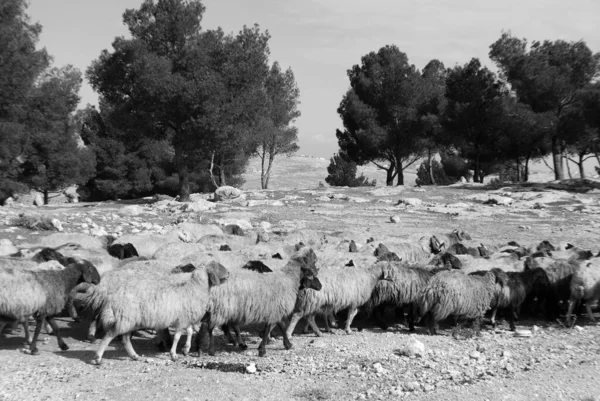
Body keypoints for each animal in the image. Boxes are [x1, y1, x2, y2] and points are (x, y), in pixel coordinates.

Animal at [70, 260, 225, 364]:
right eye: (217, 267)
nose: (228, 273)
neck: (194, 287)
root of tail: (112, 297)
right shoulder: (182, 319)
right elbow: (178, 337)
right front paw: (174, 354)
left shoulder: (184, 318)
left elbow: (189, 332)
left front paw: (185, 349)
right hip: (125, 318)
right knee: (109, 336)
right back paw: (98, 357)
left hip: (128, 320)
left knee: (125, 339)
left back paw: (134, 356)